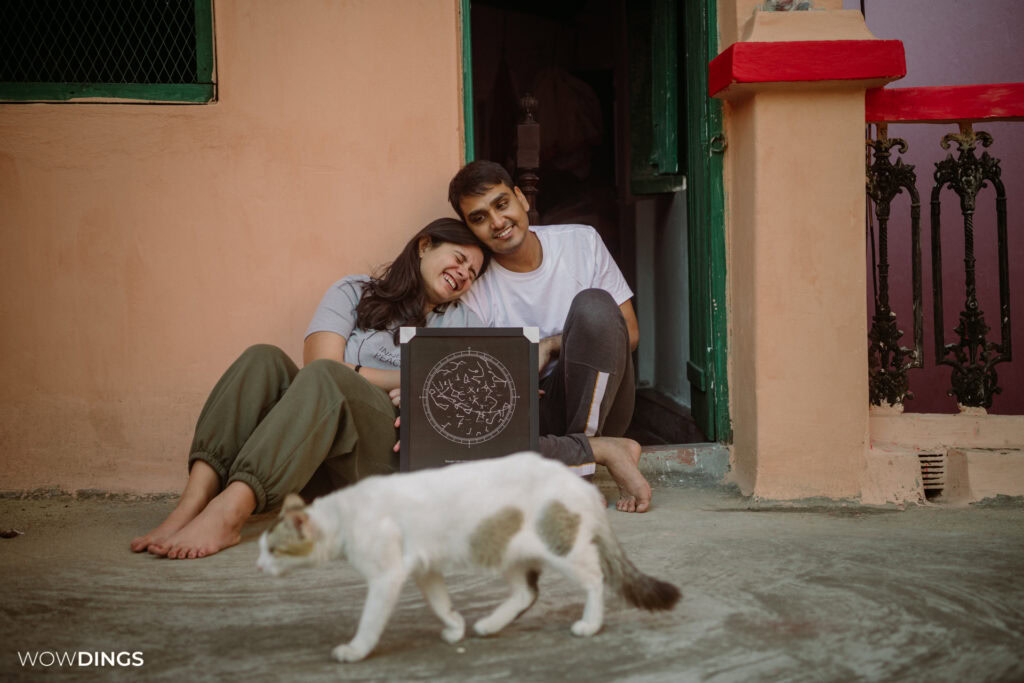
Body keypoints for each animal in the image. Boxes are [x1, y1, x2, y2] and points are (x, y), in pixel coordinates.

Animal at [256, 454, 679, 663]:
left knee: (594, 578)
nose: (258, 566)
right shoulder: (424, 570)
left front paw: (355, 651)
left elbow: (370, 621)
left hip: (560, 547)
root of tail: (581, 484)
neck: (343, 514)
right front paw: (455, 627)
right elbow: (441, 603)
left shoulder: (386, 576)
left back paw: (589, 625)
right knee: (526, 593)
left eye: (273, 550)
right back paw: (489, 625)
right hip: (506, 549)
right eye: (260, 547)